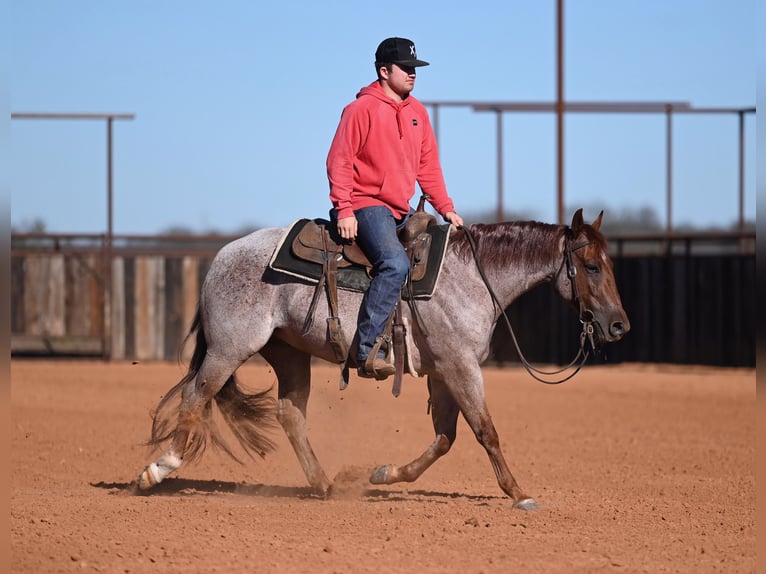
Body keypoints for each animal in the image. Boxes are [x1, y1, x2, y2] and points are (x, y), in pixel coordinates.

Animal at [137, 208, 629, 510]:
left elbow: (445, 438)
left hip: (289, 354)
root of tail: (221, 257)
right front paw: (519, 493)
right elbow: (485, 431)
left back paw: (325, 485)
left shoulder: (442, 372)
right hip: (229, 349)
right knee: (195, 398)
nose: (619, 326)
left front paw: (383, 473)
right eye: (591, 267)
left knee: (289, 414)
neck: (471, 275)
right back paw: (156, 471)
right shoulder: (461, 367)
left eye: (610, 265)